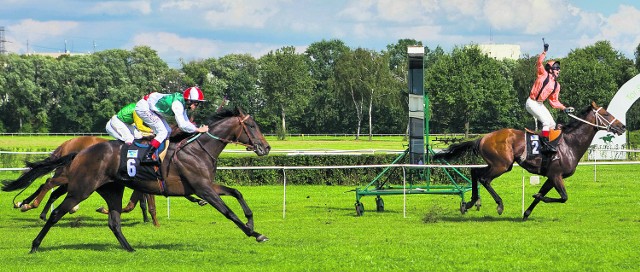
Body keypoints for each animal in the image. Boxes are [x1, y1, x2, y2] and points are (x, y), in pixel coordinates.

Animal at [1, 107, 270, 253]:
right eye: (252, 126)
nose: (265, 147)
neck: (197, 150)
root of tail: (79, 151)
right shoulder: (203, 188)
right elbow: (228, 212)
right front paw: (254, 233)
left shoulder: (206, 185)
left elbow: (236, 193)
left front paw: (252, 223)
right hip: (81, 188)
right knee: (57, 208)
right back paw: (35, 242)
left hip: (111, 189)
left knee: (113, 221)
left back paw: (129, 248)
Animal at [430, 101, 624, 219]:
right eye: (606, 114)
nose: (622, 126)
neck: (569, 143)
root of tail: (483, 138)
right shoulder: (556, 175)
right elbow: (563, 197)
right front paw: (536, 196)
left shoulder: (551, 177)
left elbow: (545, 196)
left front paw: (527, 212)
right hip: (502, 165)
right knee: (484, 178)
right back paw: (499, 204)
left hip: (497, 164)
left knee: (475, 172)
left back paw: (470, 202)